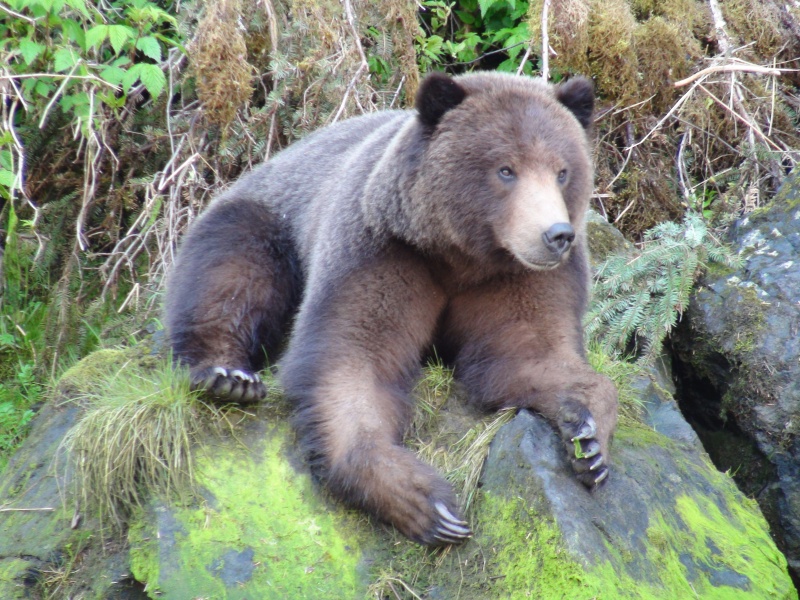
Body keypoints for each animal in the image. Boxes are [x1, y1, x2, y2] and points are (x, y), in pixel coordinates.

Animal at [164, 71, 618, 546]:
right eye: (505, 169)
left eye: (562, 171)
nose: (556, 235)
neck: (459, 254)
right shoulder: (381, 253)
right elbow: (355, 359)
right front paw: (427, 504)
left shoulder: (517, 278)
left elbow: (529, 352)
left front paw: (589, 441)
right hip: (267, 220)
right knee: (229, 277)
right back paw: (227, 376)